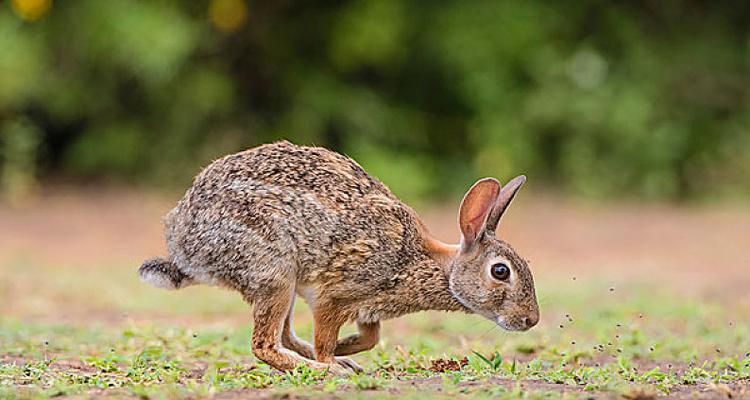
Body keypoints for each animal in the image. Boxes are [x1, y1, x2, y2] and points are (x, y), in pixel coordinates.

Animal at [140, 141, 540, 376]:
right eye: (500, 271)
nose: (530, 320)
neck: (431, 263)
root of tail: (183, 245)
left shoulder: (369, 310)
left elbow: (370, 338)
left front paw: (346, 350)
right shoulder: (336, 296)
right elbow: (326, 334)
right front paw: (331, 359)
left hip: (281, 285)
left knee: (284, 336)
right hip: (274, 270)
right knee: (265, 345)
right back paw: (325, 369)